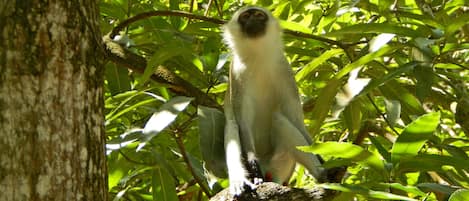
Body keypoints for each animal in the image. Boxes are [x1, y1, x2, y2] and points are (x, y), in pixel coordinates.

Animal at [221, 5, 324, 195]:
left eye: (259, 15)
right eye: (245, 16)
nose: (253, 20)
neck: (257, 57)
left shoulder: (284, 69)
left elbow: (296, 121)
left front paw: (321, 155)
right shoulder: (236, 74)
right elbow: (242, 121)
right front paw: (252, 163)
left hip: (281, 162)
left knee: (279, 119)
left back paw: (325, 174)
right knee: (231, 126)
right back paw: (241, 180)